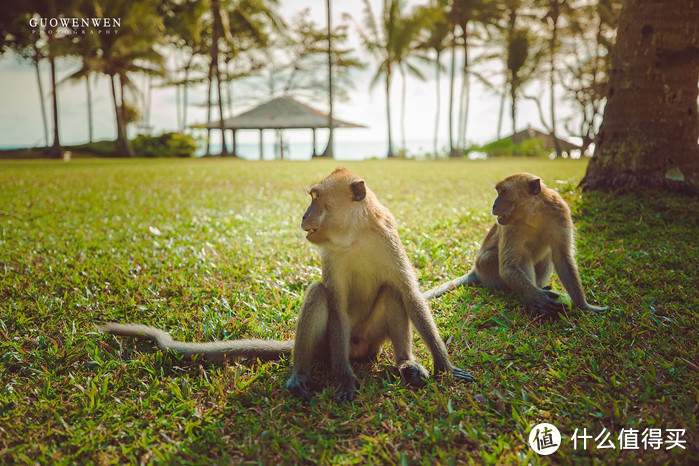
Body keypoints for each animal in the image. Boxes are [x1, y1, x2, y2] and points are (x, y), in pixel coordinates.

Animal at [98, 167, 474, 400]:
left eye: (316, 198)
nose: (304, 215)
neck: (355, 235)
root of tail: (361, 349)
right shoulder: (331, 255)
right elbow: (336, 304)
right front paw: (345, 379)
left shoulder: (387, 236)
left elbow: (409, 293)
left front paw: (445, 367)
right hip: (330, 346)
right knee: (319, 295)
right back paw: (301, 375)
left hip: (371, 340)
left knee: (393, 292)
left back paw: (405, 363)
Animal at [424, 172, 608, 316]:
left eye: (503, 192)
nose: (494, 205)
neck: (533, 214)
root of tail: (476, 270)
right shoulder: (510, 227)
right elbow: (509, 267)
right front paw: (540, 298)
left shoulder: (560, 213)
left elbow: (562, 257)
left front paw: (584, 306)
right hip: (487, 267)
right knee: (521, 257)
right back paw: (534, 301)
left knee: (548, 254)